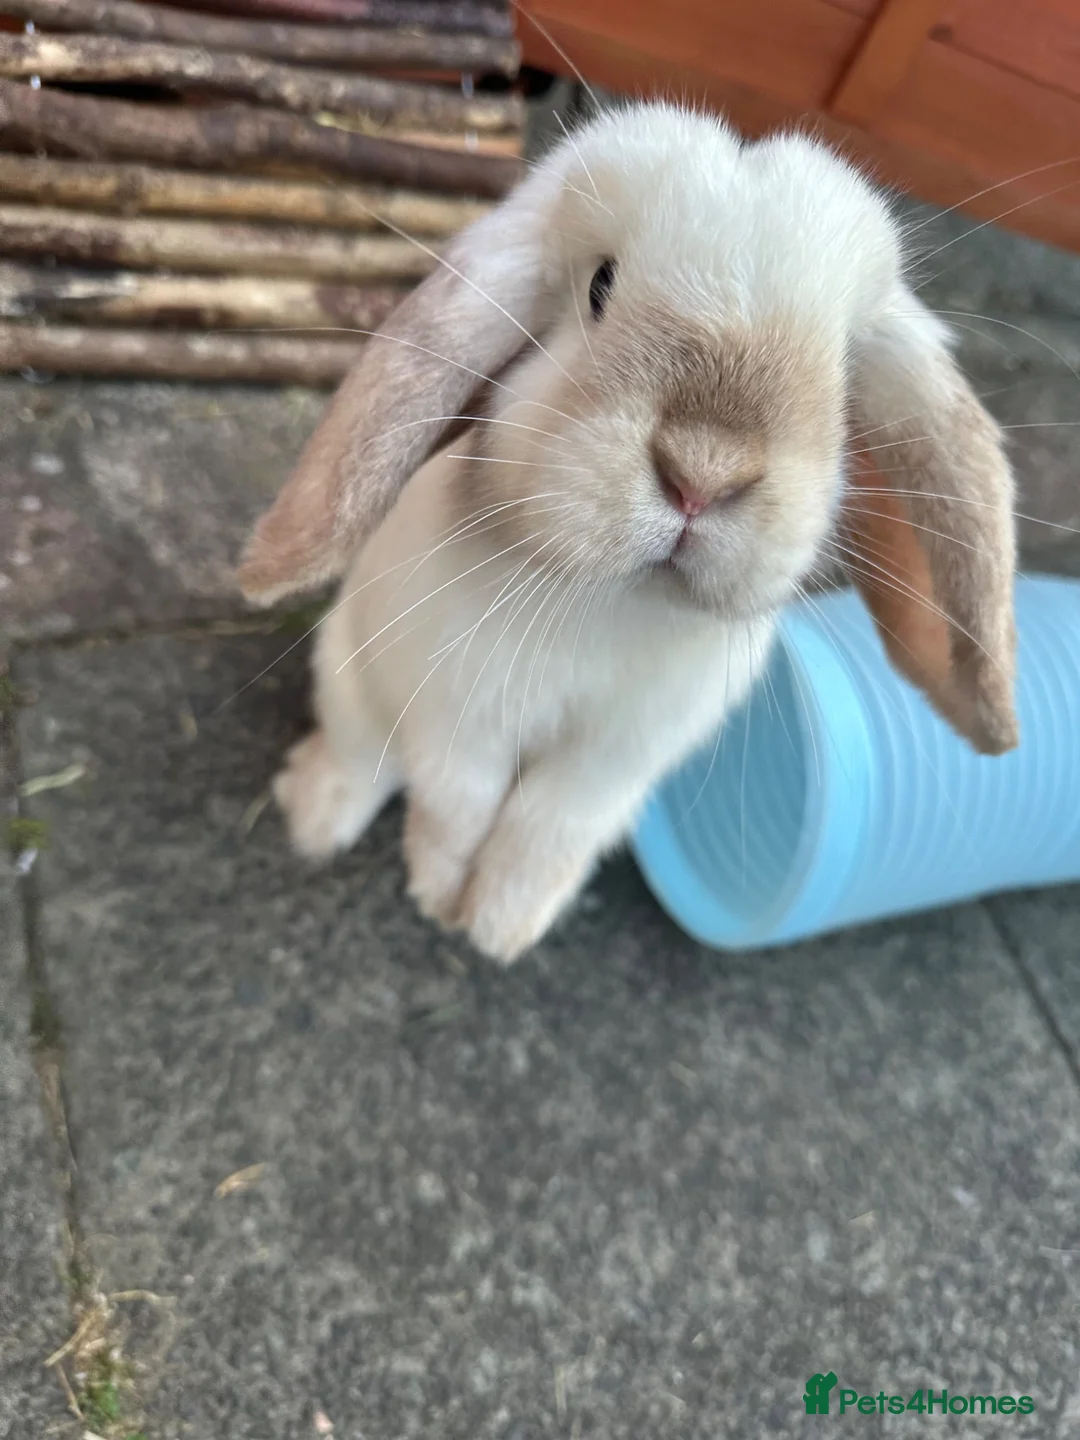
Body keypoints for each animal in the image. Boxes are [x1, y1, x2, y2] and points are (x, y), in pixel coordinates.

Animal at [236, 102, 1018, 965]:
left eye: (843, 367)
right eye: (600, 286)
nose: (703, 474)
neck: (611, 601)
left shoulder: (620, 758)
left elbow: (550, 825)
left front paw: (503, 925)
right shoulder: (455, 716)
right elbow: (458, 806)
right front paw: (440, 897)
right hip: (346, 674)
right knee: (360, 758)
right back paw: (312, 813)